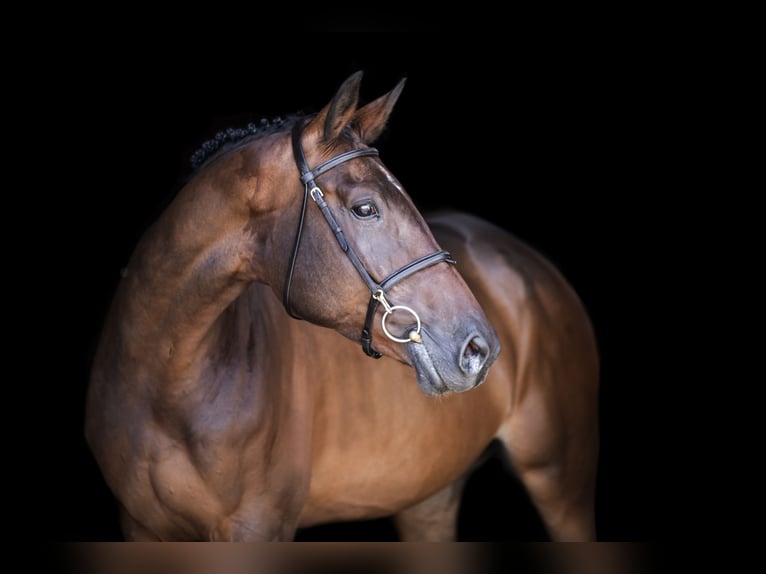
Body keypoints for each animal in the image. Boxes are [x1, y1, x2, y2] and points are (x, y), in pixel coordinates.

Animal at [84, 72, 600, 544]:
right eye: (365, 208)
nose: (480, 348)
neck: (165, 386)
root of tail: (526, 261)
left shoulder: (257, 529)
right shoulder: (140, 529)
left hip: (560, 485)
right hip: (429, 498)